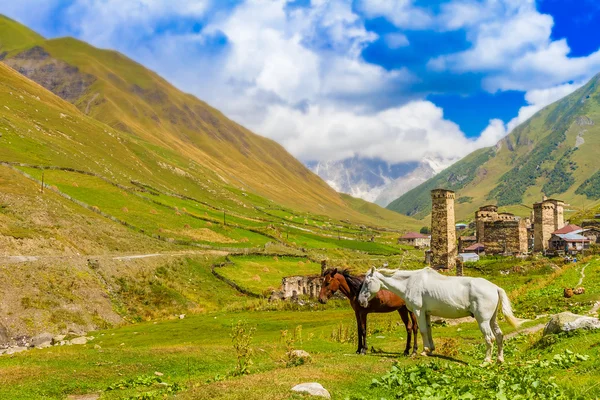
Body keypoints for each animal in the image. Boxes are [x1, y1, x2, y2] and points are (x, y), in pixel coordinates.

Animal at [358, 268, 524, 364]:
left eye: (367, 282)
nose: (360, 300)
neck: (410, 282)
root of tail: (495, 287)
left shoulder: (418, 311)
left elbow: (423, 331)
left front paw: (423, 351)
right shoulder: (426, 313)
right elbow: (429, 331)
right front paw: (430, 349)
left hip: (483, 321)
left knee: (490, 338)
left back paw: (486, 361)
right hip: (492, 319)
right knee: (499, 336)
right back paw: (499, 360)